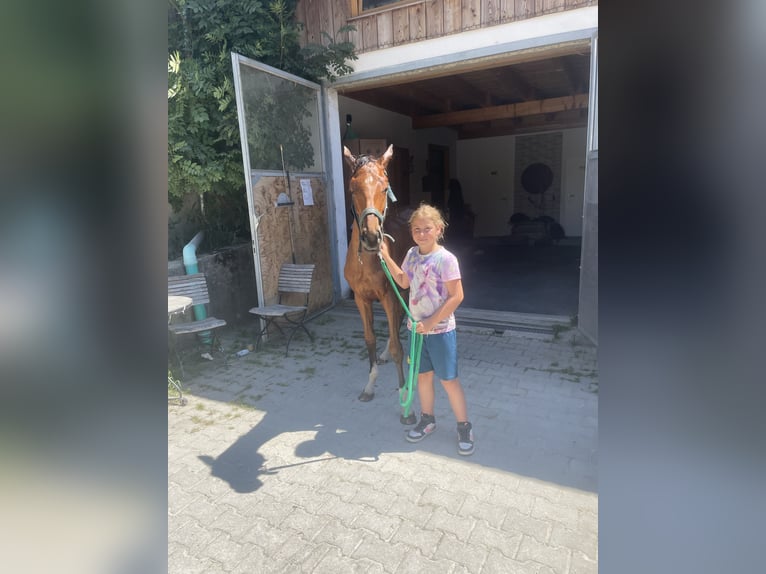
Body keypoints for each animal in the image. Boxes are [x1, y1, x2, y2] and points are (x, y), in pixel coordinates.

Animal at [343, 144, 416, 425]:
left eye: (385, 188)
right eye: (353, 188)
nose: (372, 237)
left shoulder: (387, 296)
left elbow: (397, 346)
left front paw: (407, 404)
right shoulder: (362, 299)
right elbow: (370, 339)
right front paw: (369, 387)